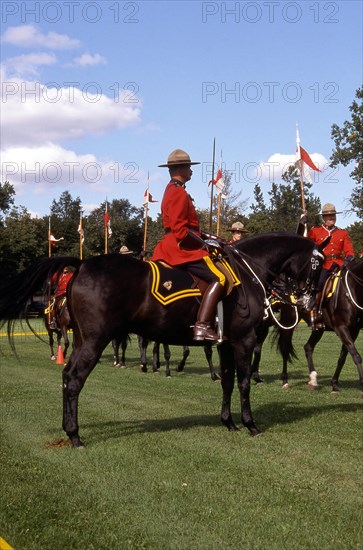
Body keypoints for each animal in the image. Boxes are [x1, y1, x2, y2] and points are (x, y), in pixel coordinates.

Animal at [0, 234, 324, 448]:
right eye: (318, 263)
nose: (310, 300)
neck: (247, 272)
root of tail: (81, 264)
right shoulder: (243, 340)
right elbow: (243, 382)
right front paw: (250, 424)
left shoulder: (225, 343)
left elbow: (228, 381)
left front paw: (228, 422)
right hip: (94, 340)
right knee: (74, 379)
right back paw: (75, 435)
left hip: (82, 339)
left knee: (67, 376)